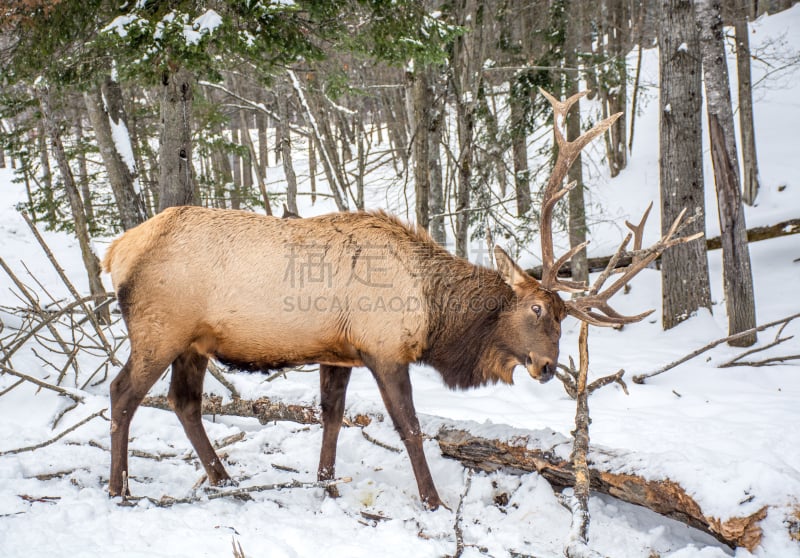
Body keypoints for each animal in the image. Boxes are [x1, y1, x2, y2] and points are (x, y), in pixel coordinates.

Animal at [104, 91, 692, 512]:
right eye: (537, 310)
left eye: (565, 315)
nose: (548, 367)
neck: (435, 315)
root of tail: (116, 251)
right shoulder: (384, 349)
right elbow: (410, 428)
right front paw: (432, 502)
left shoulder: (338, 351)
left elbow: (332, 417)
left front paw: (327, 485)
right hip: (159, 331)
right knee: (122, 393)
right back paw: (120, 489)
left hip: (193, 343)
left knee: (183, 402)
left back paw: (225, 480)